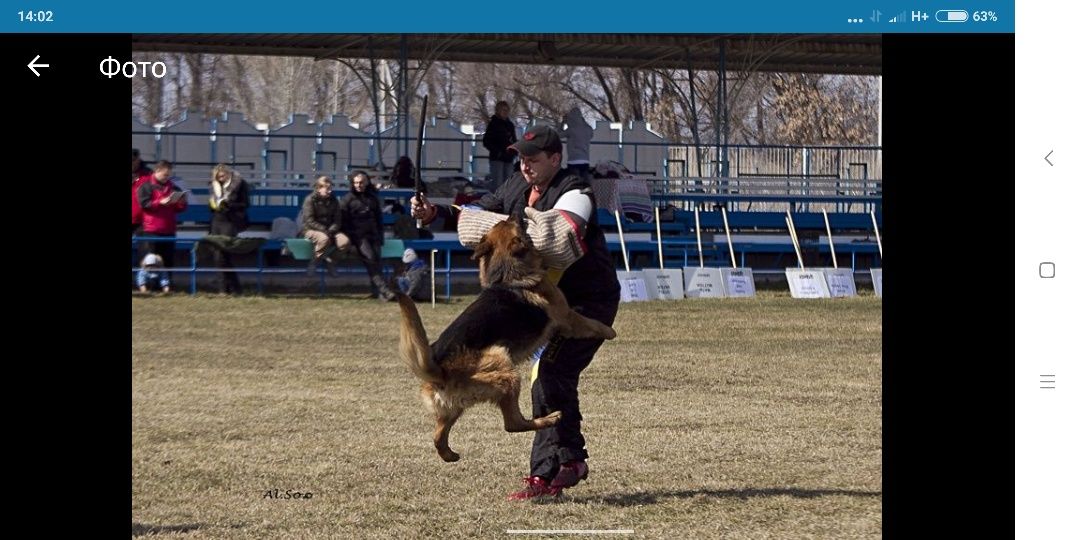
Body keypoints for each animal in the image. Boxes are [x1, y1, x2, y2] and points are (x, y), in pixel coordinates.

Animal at [397, 217, 617, 462]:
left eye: (502, 222)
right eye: (515, 225)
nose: (515, 214)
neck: (507, 273)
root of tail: (439, 371)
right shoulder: (568, 317)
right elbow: (591, 323)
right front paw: (608, 331)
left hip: (455, 408)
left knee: (438, 437)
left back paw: (449, 454)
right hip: (505, 368)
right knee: (513, 424)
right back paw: (549, 419)